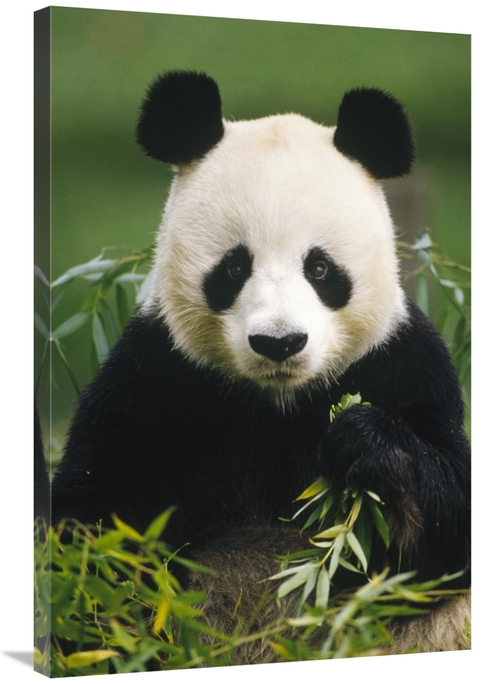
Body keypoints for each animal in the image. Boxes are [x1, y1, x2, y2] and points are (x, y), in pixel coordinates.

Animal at [52, 70, 471, 660]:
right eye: (234, 267)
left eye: (320, 269)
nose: (279, 343)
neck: (278, 400)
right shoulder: (156, 378)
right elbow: (95, 524)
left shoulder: (402, 363)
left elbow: (449, 529)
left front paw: (365, 443)